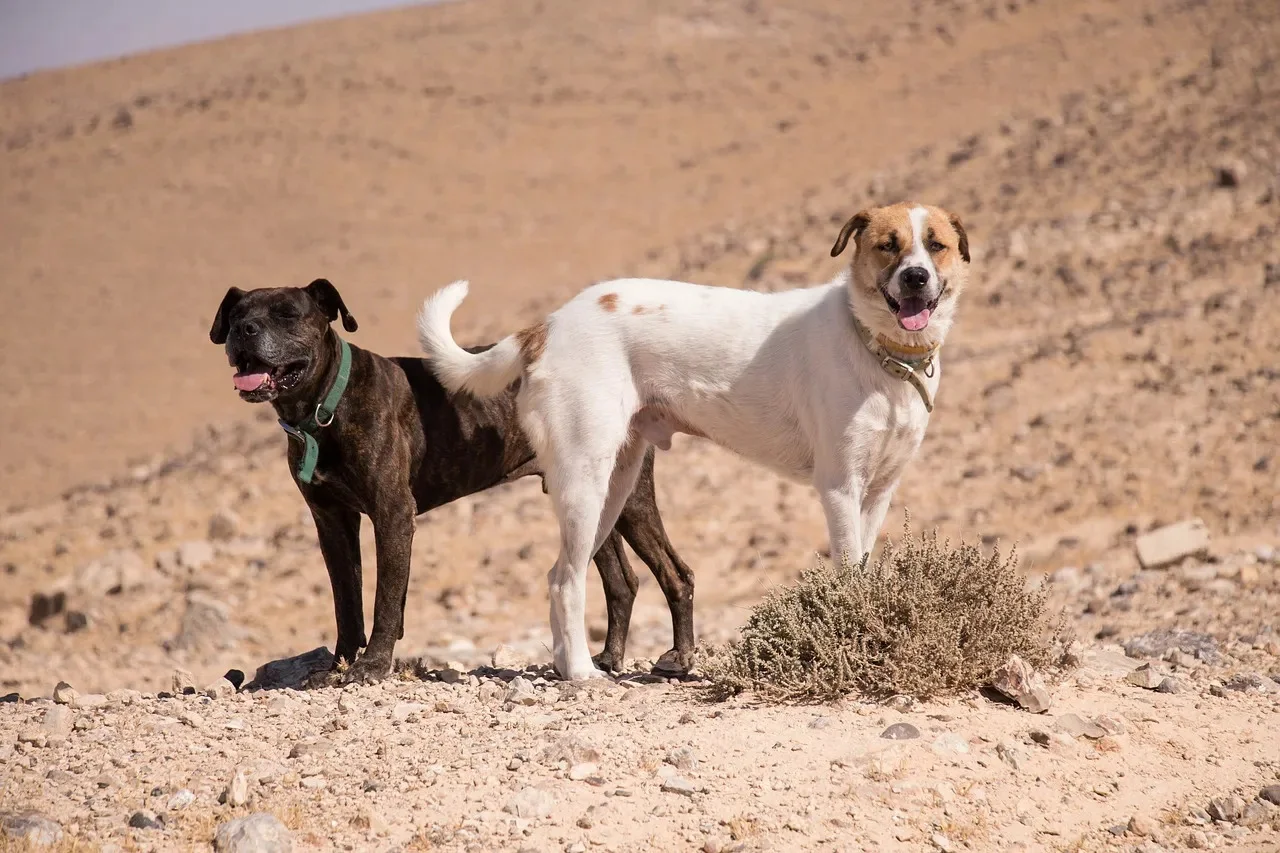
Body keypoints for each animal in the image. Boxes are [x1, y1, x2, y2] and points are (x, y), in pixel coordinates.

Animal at [208, 279, 696, 686]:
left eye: (288, 313)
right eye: (236, 315)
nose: (245, 331)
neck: (326, 406)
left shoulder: (393, 515)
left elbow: (386, 599)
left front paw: (371, 667)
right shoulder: (331, 522)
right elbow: (346, 601)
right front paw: (338, 666)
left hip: (627, 498)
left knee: (675, 573)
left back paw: (679, 658)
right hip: (592, 499)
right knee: (621, 582)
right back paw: (607, 660)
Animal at [419, 201, 967, 676]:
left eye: (935, 245)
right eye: (888, 246)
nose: (915, 277)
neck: (880, 350)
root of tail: (548, 324)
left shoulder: (877, 493)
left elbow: (864, 571)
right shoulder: (839, 487)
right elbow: (849, 572)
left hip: (616, 487)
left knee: (565, 574)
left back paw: (569, 667)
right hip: (583, 481)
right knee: (565, 579)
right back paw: (581, 673)